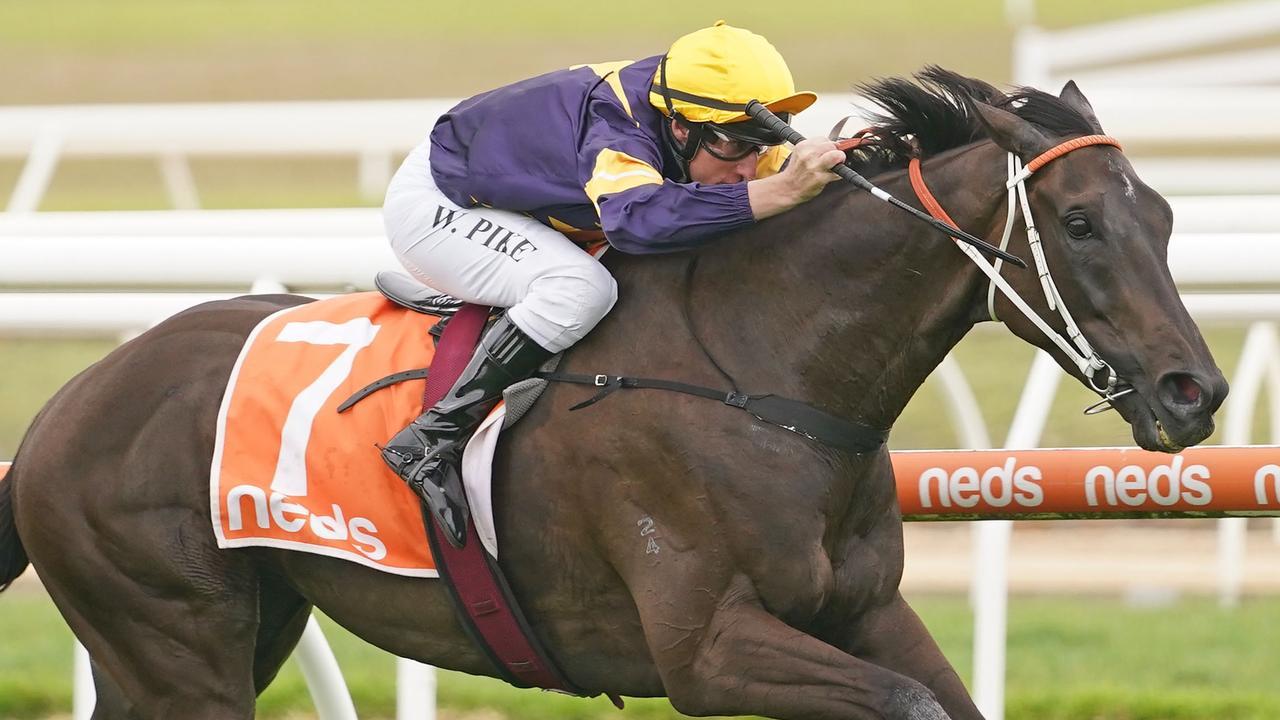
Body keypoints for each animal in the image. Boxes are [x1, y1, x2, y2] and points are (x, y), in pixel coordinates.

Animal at [0, 68, 1223, 717]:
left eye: (1165, 216)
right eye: (1078, 224)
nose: (1194, 391)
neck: (764, 377)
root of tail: (64, 407)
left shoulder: (862, 610)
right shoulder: (707, 649)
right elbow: (902, 701)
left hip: (238, 626)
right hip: (173, 638)